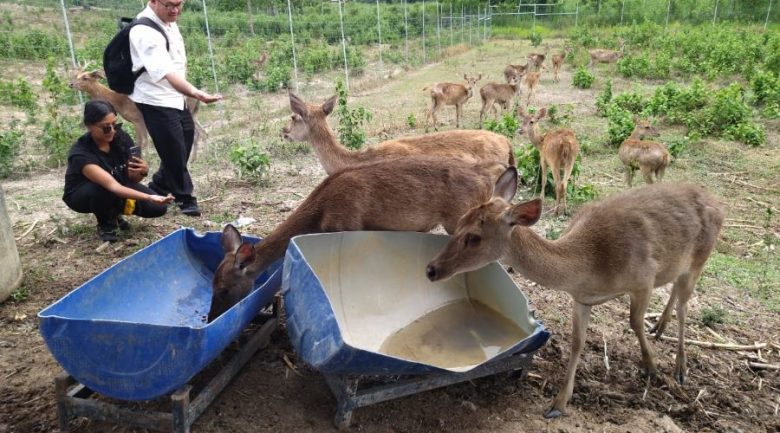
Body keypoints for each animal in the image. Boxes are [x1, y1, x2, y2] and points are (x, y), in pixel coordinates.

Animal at [207, 156, 512, 320]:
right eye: (211, 284)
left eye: (223, 289)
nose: (211, 316)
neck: (321, 213)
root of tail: (485, 180)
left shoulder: (349, 224)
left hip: (459, 218)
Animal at [426, 175, 724, 418]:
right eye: (460, 220)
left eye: (475, 237)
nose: (431, 269)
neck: (591, 267)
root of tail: (716, 201)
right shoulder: (582, 298)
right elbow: (577, 342)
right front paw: (558, 404)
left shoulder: (644, 278)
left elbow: (634, 322)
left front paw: (651, 367)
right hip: (680, 266)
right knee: (675, 290)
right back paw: (660, 327)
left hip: (700, 257)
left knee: (685, 305)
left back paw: (680, 368)